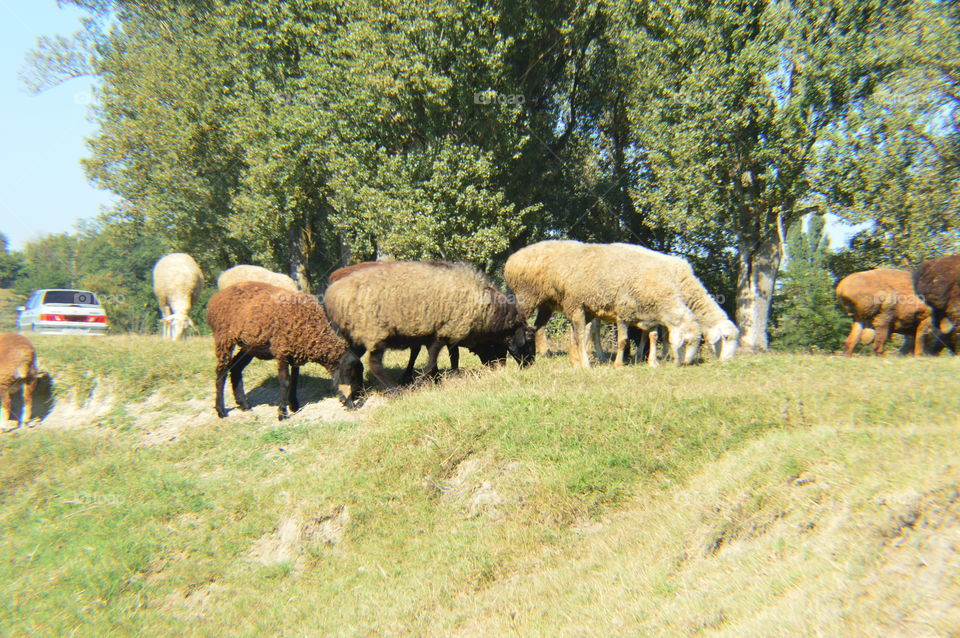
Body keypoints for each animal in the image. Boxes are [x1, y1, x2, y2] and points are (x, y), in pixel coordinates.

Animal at [206, 281, 363, 420]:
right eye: (351, 376)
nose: (356, 402)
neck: (312, 330)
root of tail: (215, 298)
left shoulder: (295, 354)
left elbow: (294, 380)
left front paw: (293, 405)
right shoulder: (282, 351)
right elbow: (285, 382)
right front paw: (282, 413)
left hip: (249, 346)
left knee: (236, 369)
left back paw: (244, 405)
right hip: (224, 339)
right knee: (221, 372)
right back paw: (221, 410)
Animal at [504, 240, 702, 368]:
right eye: (687, 341)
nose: (685, 364)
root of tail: (511, 260)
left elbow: (650, 336)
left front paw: (651, 361)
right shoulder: (621, 313)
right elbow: (620, 339)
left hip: (548, 304)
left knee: (539, 328)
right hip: (530, 297)